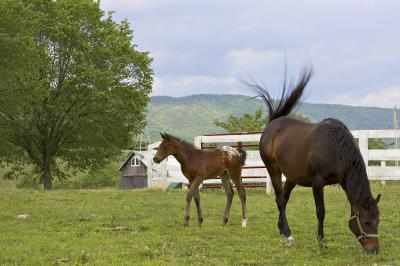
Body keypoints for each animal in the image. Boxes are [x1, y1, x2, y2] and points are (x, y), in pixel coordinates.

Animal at [253, 68, 382, 254]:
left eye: (378, 220)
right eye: (366, 221)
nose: (374, 250)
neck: (334, 148)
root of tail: (271, 125)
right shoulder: (317, 182)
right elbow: (321, 211)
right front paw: (321, 242)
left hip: (292, 177)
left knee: (283, 198)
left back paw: (283, 232)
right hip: (273, 169)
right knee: (280, 200)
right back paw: (288, 235)